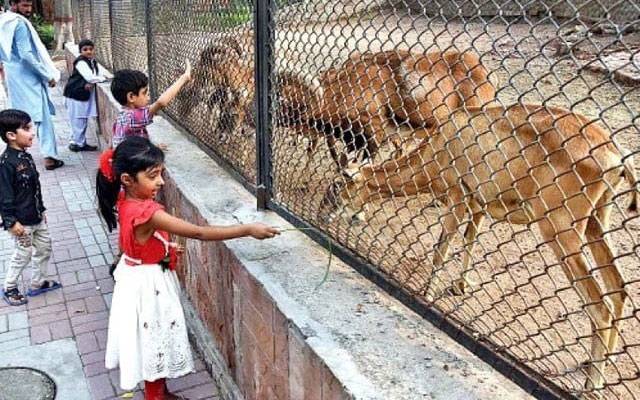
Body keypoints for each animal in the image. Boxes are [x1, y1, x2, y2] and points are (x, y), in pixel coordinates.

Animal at [322, 104, 636, 394]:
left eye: (338, 186)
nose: (325, 215)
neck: (439, 147)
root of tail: (616, 157)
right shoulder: (480, 204)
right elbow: (470, 239)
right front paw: (461, 285)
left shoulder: (458, 195)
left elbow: (443, 245)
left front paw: (427, 295)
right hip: (597, 220)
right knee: (618, 288)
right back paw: (600, 364)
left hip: (561, 228)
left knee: (601, 306)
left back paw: (591, 385)